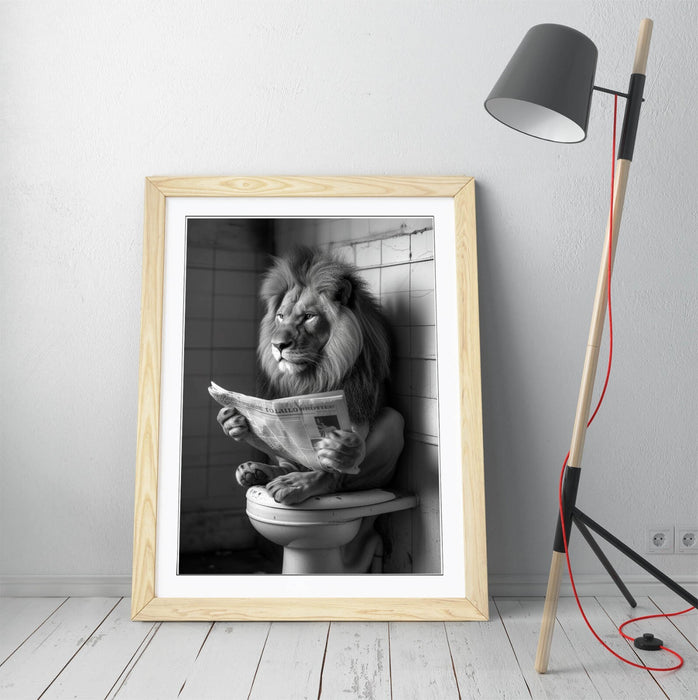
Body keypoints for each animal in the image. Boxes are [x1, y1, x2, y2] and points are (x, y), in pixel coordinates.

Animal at [217, 246, 405, 505]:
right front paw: (232, 421)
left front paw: (341, 451)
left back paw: (296, 482)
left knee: (335, 478)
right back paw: (256, 471)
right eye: (281, 316)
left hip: (388, 437)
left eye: (308, 316)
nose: (278, 345)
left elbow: (339, 456)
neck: (313, 374)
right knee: (289, 463)